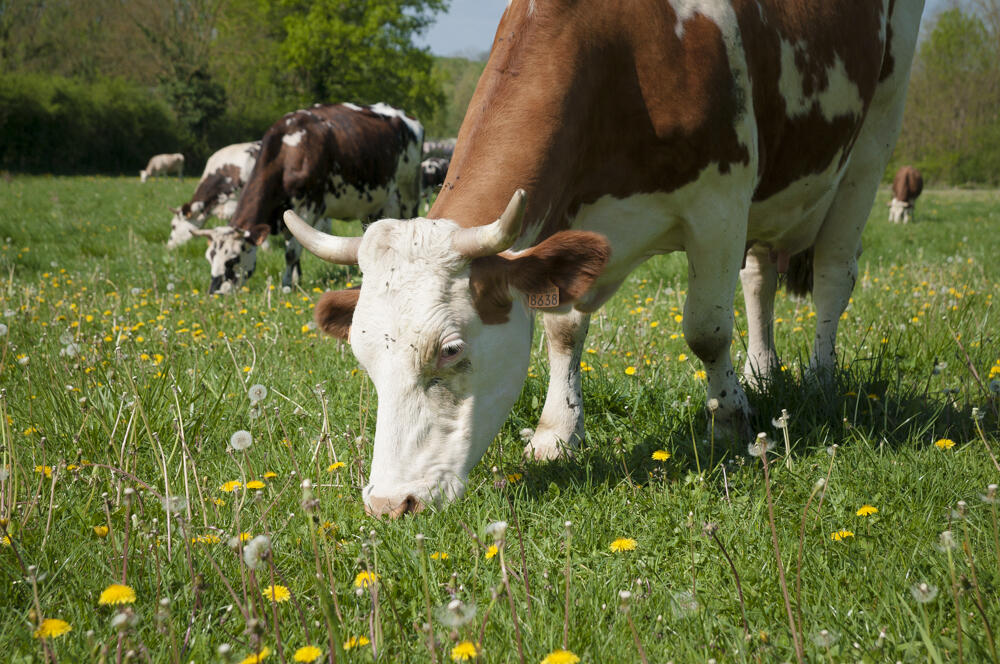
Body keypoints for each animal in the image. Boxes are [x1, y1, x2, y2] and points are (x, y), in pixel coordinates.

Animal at [193, 104, 424, 294]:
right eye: (209, 257)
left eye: (233, 259)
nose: (214, 292)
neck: (287, 150)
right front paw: (296, 278)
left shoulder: (307, 206)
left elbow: (291, 253)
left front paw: (286, 286)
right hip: (374, 204)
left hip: (408, 192)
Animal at [282, 0, 920, 520]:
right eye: (362, 355)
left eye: (451, 350)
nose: (391, 504)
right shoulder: (571, 218)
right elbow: (562, 329)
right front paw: (557, 433)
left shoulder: (720, 201)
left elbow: (706, 331)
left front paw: (728, 420)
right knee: (760, 274)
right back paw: (764, 368)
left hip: (876, 133)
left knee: (834, 273)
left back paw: (820, 377)